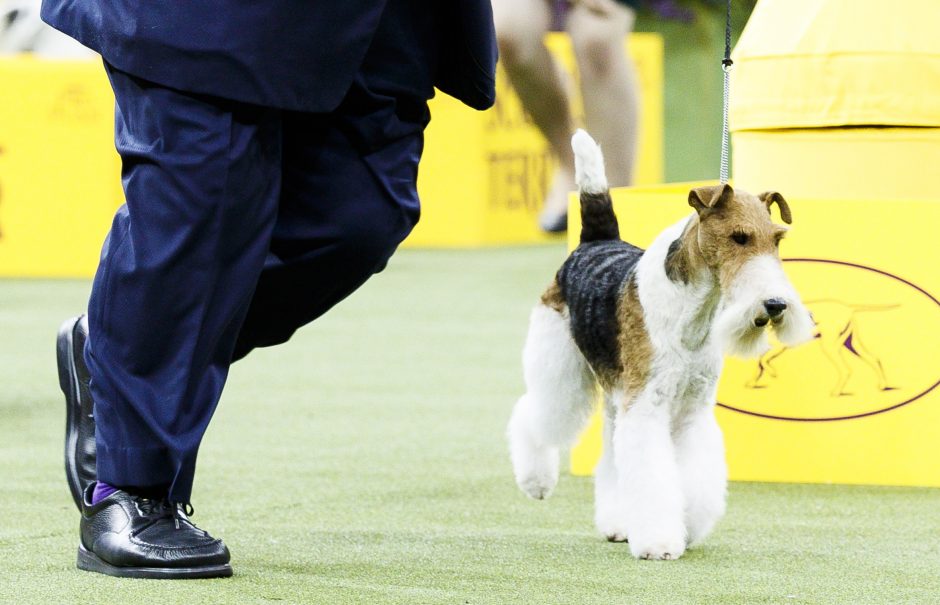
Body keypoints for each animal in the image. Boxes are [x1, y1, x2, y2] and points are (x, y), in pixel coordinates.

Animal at [506, 130, 816, 560]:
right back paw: (536, 483)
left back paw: (618, 524)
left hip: (616, 395)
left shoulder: (691, 410)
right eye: (739, 237)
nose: (775, 305)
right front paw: (659, 542)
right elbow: (653, 478)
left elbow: (693, 479)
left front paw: (688, 526)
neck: (693, 312)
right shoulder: (648, 404)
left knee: (611, 458)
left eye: (777, 240)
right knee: (531, 415)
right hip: (561, 374)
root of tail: (595, 241)